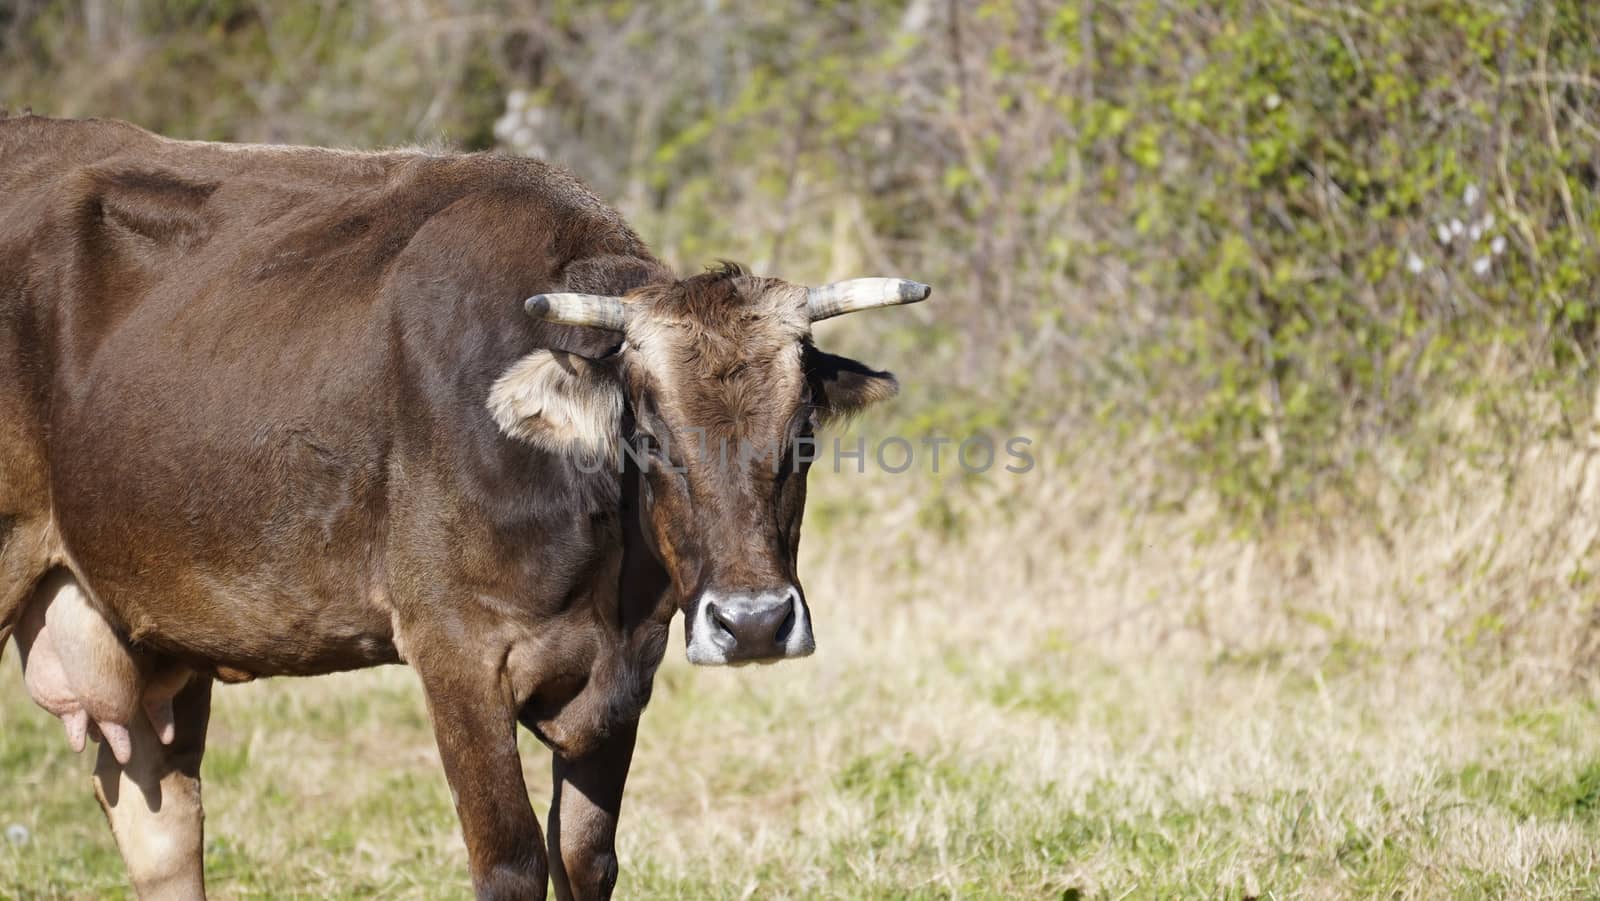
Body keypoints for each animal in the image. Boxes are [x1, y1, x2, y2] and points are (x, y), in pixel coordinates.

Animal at [0, 116, 928, 896]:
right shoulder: (456, 652)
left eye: (803, 428)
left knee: (166, 835)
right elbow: (512, 861)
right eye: (652, 432)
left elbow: (585, 856)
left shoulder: (626, 669)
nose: (756, 623)